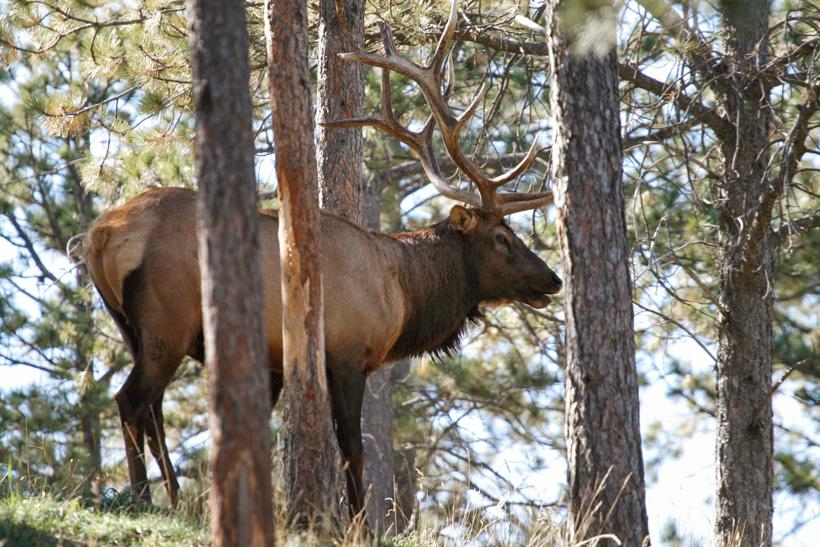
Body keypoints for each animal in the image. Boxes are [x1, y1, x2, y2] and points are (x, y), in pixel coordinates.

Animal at [84, 0, 561, 518]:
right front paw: (358, 523)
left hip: (130, 326)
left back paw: (173, 497)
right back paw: (140, 498)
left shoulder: (275, 362)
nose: (553, 279)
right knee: (131, 401)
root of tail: (99, 236)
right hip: (167, 321)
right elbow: (353, 450)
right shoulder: (347, 353)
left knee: (152, 410)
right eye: (502, 238)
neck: (403, 296)